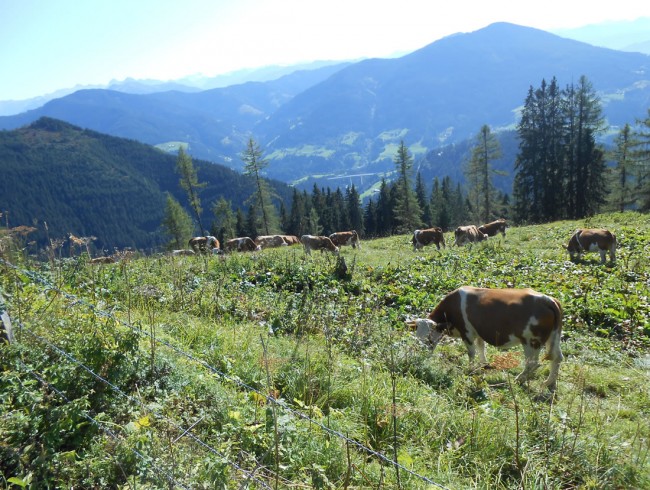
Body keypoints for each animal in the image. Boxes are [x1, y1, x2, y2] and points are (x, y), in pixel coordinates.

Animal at [408, 286, 560, 388]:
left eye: (429, 339)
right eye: (417, 338)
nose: (420, 355)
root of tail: (547, 299)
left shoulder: (467, 331)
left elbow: (471, 352)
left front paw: (470, 369)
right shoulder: (478, 331)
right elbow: (481, 346)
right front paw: (483, 364)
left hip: (531, 341)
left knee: (533, 363)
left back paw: (519, 379)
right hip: (553, 337)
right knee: (557, 358)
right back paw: (548, 382)